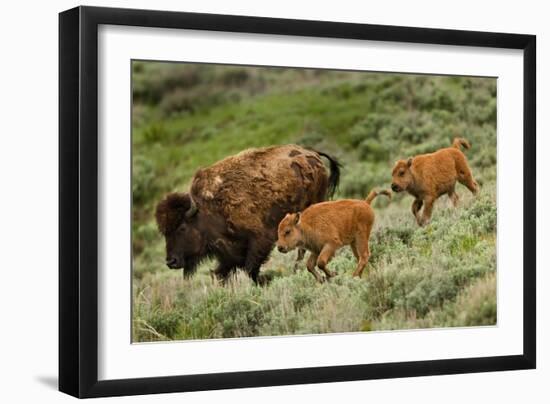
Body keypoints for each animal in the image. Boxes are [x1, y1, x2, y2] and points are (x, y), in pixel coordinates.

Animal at [155, 144, 340, 282]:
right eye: (164, 233)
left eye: (182, 228)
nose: (171, 261)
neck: (206, 210)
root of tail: (312, 154)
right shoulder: (228, 254)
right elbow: (222, 272)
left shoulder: (259, 240)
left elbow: (250, 268)